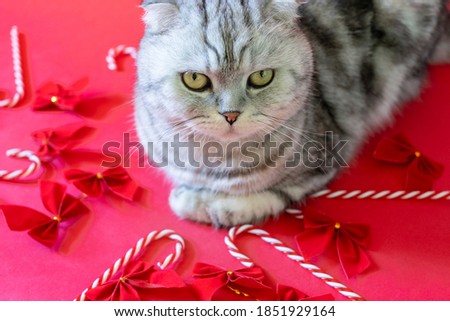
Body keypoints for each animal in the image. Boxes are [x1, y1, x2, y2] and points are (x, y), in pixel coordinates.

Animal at [135, 0, 450, 226]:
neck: (217, 161)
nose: (231, 114)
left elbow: (264, 195)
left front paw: (208, 204)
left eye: (261, 77)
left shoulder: (327, 158)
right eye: (195, 80)